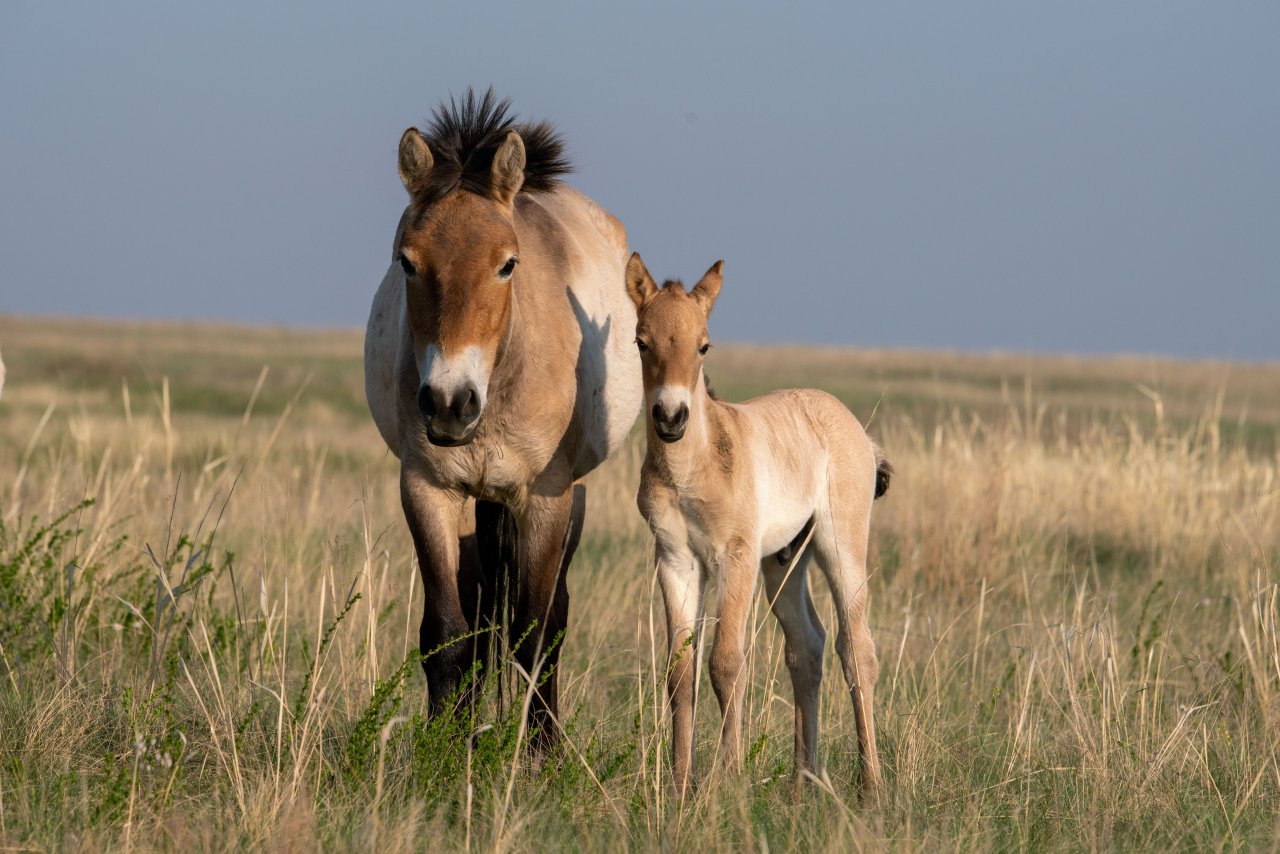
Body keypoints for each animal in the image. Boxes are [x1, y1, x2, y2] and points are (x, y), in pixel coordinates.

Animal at [363, 93, 640, 742]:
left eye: (508, 264)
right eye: (407, 263)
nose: (449, 402)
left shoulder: (545, 498)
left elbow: (535, 635)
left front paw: (540, 753)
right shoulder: (428, 490)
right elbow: (446, 635)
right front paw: (444, 747)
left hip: (570, 500)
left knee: (549, 619)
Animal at [627, 252, 890, 793]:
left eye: (704, 344)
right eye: (641, 342)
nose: (671, 417)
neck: (694, 468)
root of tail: (857, 431)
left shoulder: (737, 558)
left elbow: (726, 663)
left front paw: (728, 782)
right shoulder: (676, 563)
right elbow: (680, 672)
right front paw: (680, 786)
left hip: (840, 547)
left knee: (857, 651)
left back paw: (871, 785)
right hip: (784, 563)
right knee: (807, 647)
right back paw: (803, 782)